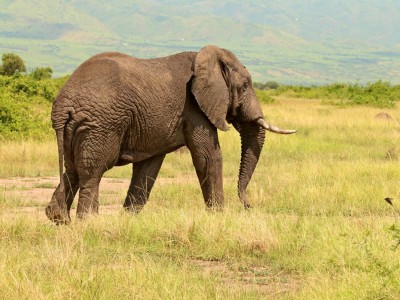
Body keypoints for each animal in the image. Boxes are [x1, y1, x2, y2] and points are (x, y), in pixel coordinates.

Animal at [45, 44, 296, 223]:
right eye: (244, 86)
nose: (249, 205)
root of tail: (63, 105)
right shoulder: (194, 107)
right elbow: (208, 157)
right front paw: (219, 217)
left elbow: (149, 167)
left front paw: (128, 220)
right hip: (101, 125)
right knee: (93, 171)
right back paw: (89, 222)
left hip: (79, 128)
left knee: (73, 169)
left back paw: (58, 218)